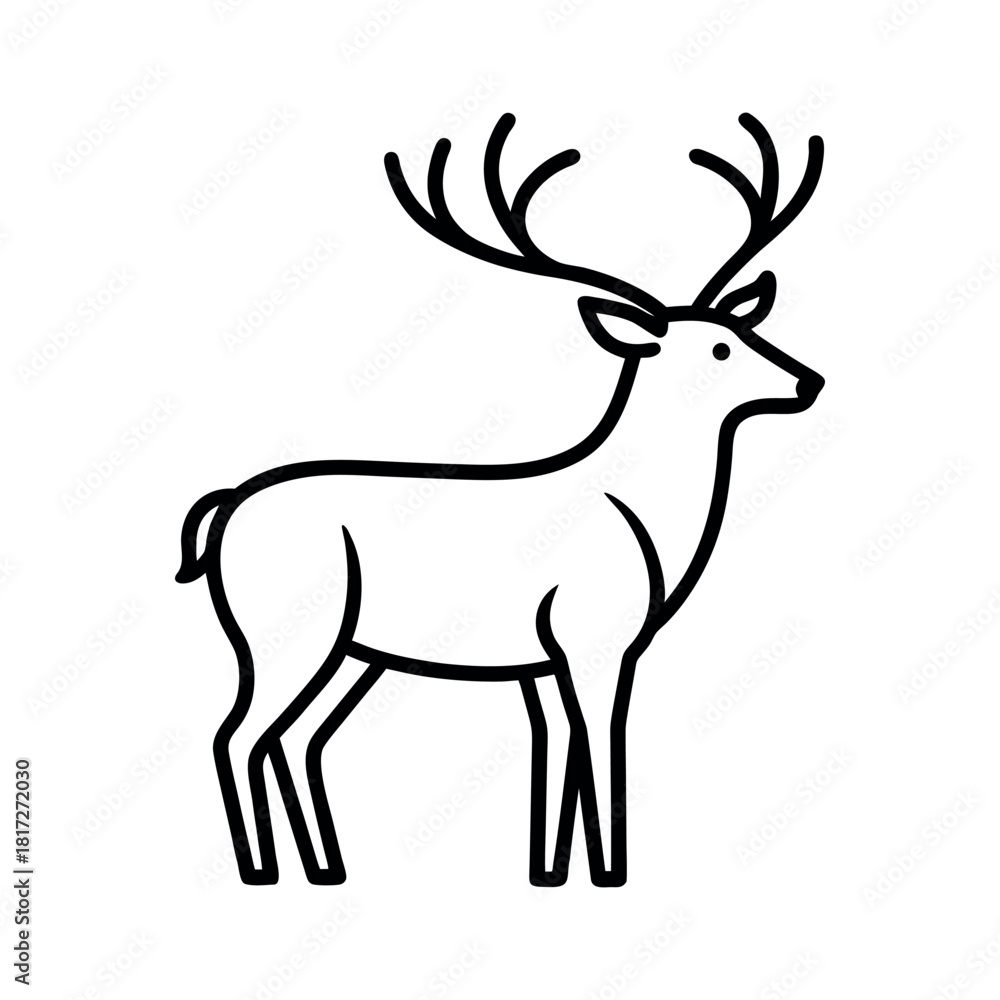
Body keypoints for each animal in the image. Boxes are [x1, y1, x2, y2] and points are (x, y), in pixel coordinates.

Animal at [176, 112, 824, 887]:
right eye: (721, 348)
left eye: (747, 328)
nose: (809, 381)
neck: (646, 520)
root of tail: (224, 509)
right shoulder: (596, 635)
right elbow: (601, 743)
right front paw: (610, 870)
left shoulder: (539, 659)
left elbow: (554, 749)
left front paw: (548, 869)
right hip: (283, 628)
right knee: (236, 734)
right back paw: (261, 869)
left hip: (354, 649)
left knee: (298, 738)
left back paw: (326, 865)